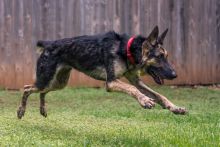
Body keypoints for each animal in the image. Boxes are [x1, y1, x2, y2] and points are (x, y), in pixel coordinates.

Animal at [17, 25, 186, 119]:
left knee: (41, 92)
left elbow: (159, 95)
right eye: (159, 57)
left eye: (166, 56)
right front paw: (144, 100)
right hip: (47, 79)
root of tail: (49, 44)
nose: (175, 75)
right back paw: (21, 111)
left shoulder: (136, 81)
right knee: (27, 88)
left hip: (58, 83)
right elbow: (132, 89)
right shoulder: (111, 82)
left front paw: (175, 108)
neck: (126, 50)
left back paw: (42, 109)